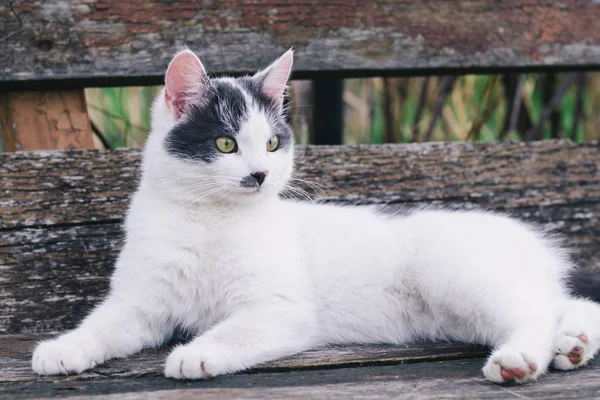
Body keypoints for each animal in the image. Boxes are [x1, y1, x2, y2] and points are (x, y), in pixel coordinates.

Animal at [31, 48, 600, 382]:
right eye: (225, 143)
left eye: (272, 143)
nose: (261, 174)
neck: (210, 220)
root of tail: (532, 241)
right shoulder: (141, 302)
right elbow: (106, 323)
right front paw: (64, 348)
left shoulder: (281, 309)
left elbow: (235, 330)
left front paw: (197, 353)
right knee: (561, 303)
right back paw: (573, 344)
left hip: (453, 272)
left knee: (533, 310)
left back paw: (521, 360)